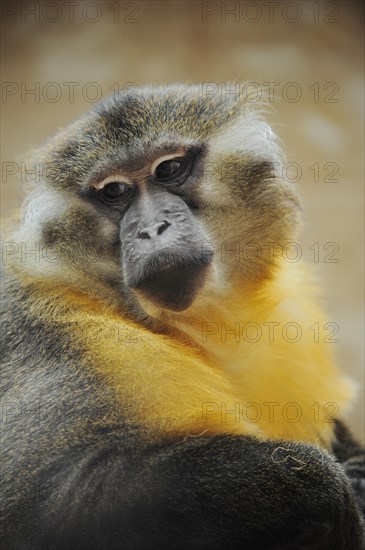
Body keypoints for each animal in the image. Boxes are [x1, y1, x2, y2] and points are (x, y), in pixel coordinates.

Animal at [0, 83, 362, 550]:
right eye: (115, 192)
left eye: (169, 169)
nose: (152, 229)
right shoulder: (63, 339)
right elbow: (41, 507)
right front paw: (322, 486)